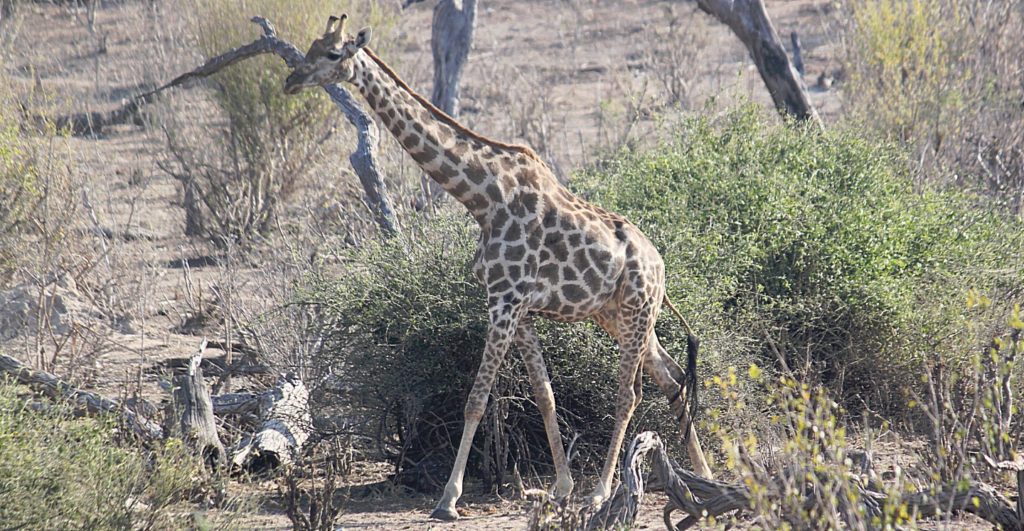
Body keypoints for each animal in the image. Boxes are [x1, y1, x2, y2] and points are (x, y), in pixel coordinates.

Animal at [280, 14, 712, 521]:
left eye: (332, 54)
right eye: (310, 47)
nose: (291, 80)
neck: (482, 197)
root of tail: (661, 266)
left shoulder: (503, 302)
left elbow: (476, 399)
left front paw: (448, 499)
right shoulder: (519, 308)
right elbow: (543, 393)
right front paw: (560, 487)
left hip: (635, 311)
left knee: (630, 393)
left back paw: (604, 491)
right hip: (619, 317)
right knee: (672, 376)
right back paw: (703, 477)